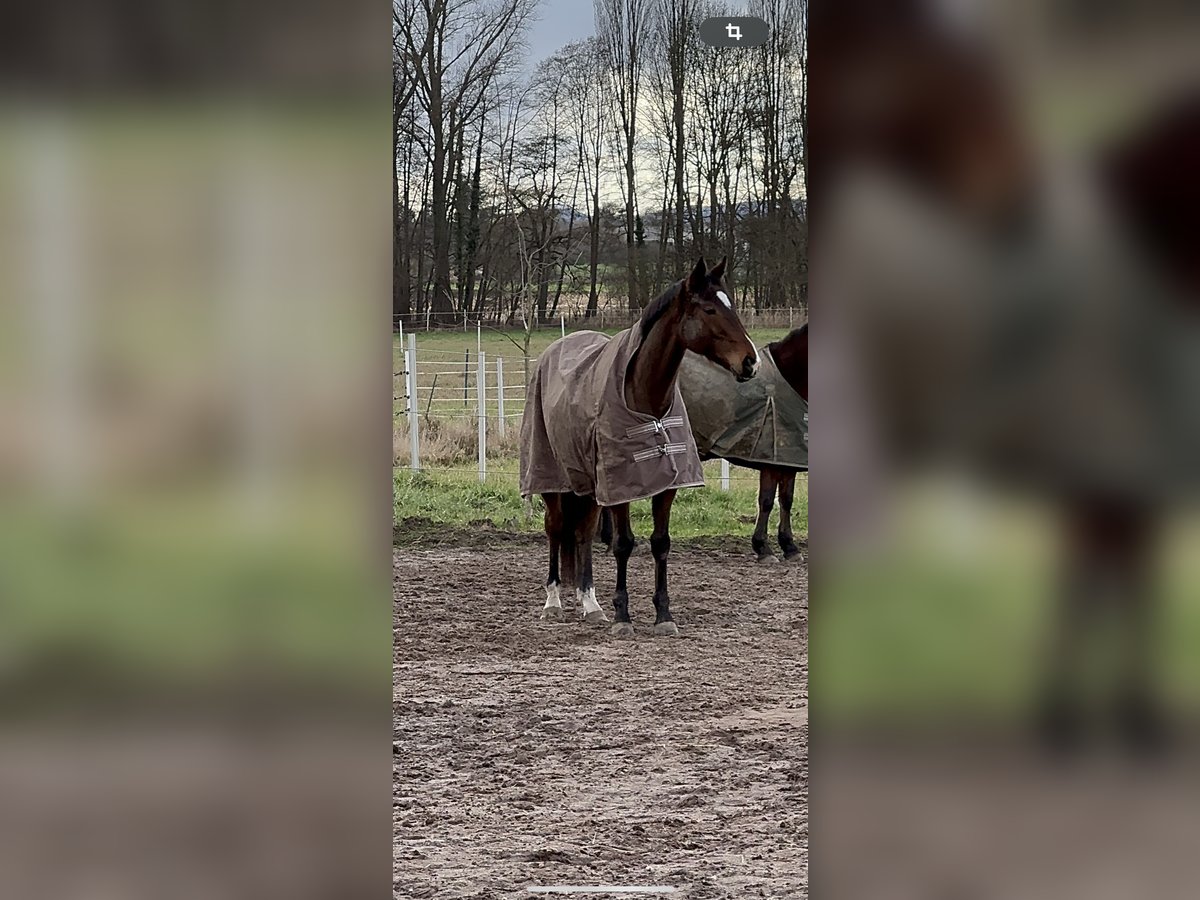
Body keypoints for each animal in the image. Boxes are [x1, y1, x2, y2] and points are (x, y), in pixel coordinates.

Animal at [518, 259, 758, 643]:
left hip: (588, 486)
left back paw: (590, 604)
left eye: (731, 305)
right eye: (709, 309)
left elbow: (660, 543)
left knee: (582, 534)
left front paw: (663, 615)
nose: (750, 362)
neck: (646, 398)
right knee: (555, 528)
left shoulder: (666, 485)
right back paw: (553, 600)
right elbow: (623, 544)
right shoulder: (620, 488)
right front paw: (623, 617)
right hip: (552, 477)